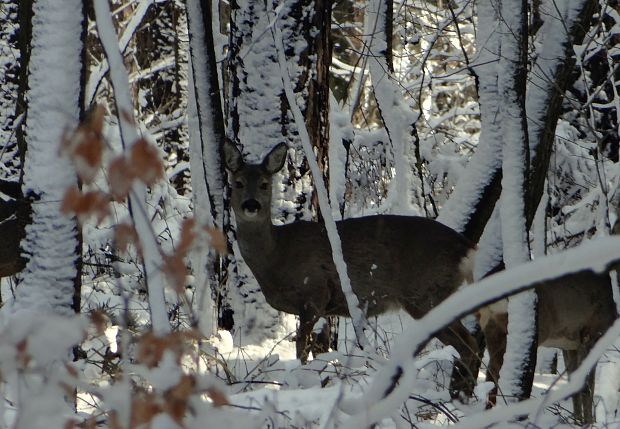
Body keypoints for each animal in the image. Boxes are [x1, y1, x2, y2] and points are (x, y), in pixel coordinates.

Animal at [223, 142, 480, 396]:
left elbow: (301, 349)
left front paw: (297, 383)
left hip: (427, 294)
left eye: (265, 184)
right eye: (238, 183)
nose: (251, 205)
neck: (277, 256)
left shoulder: (314, 293)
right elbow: (320, 351)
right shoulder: (324, 308)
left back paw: (460, 396)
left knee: (469, 344)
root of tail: (465, 246)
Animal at [480, 270, 616, 422]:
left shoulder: (570, 345)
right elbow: (587, 386)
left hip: (493, 331)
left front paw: (577, 420)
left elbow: (573, 384)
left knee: (492, 371)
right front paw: (589, 423)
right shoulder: (591, 335)